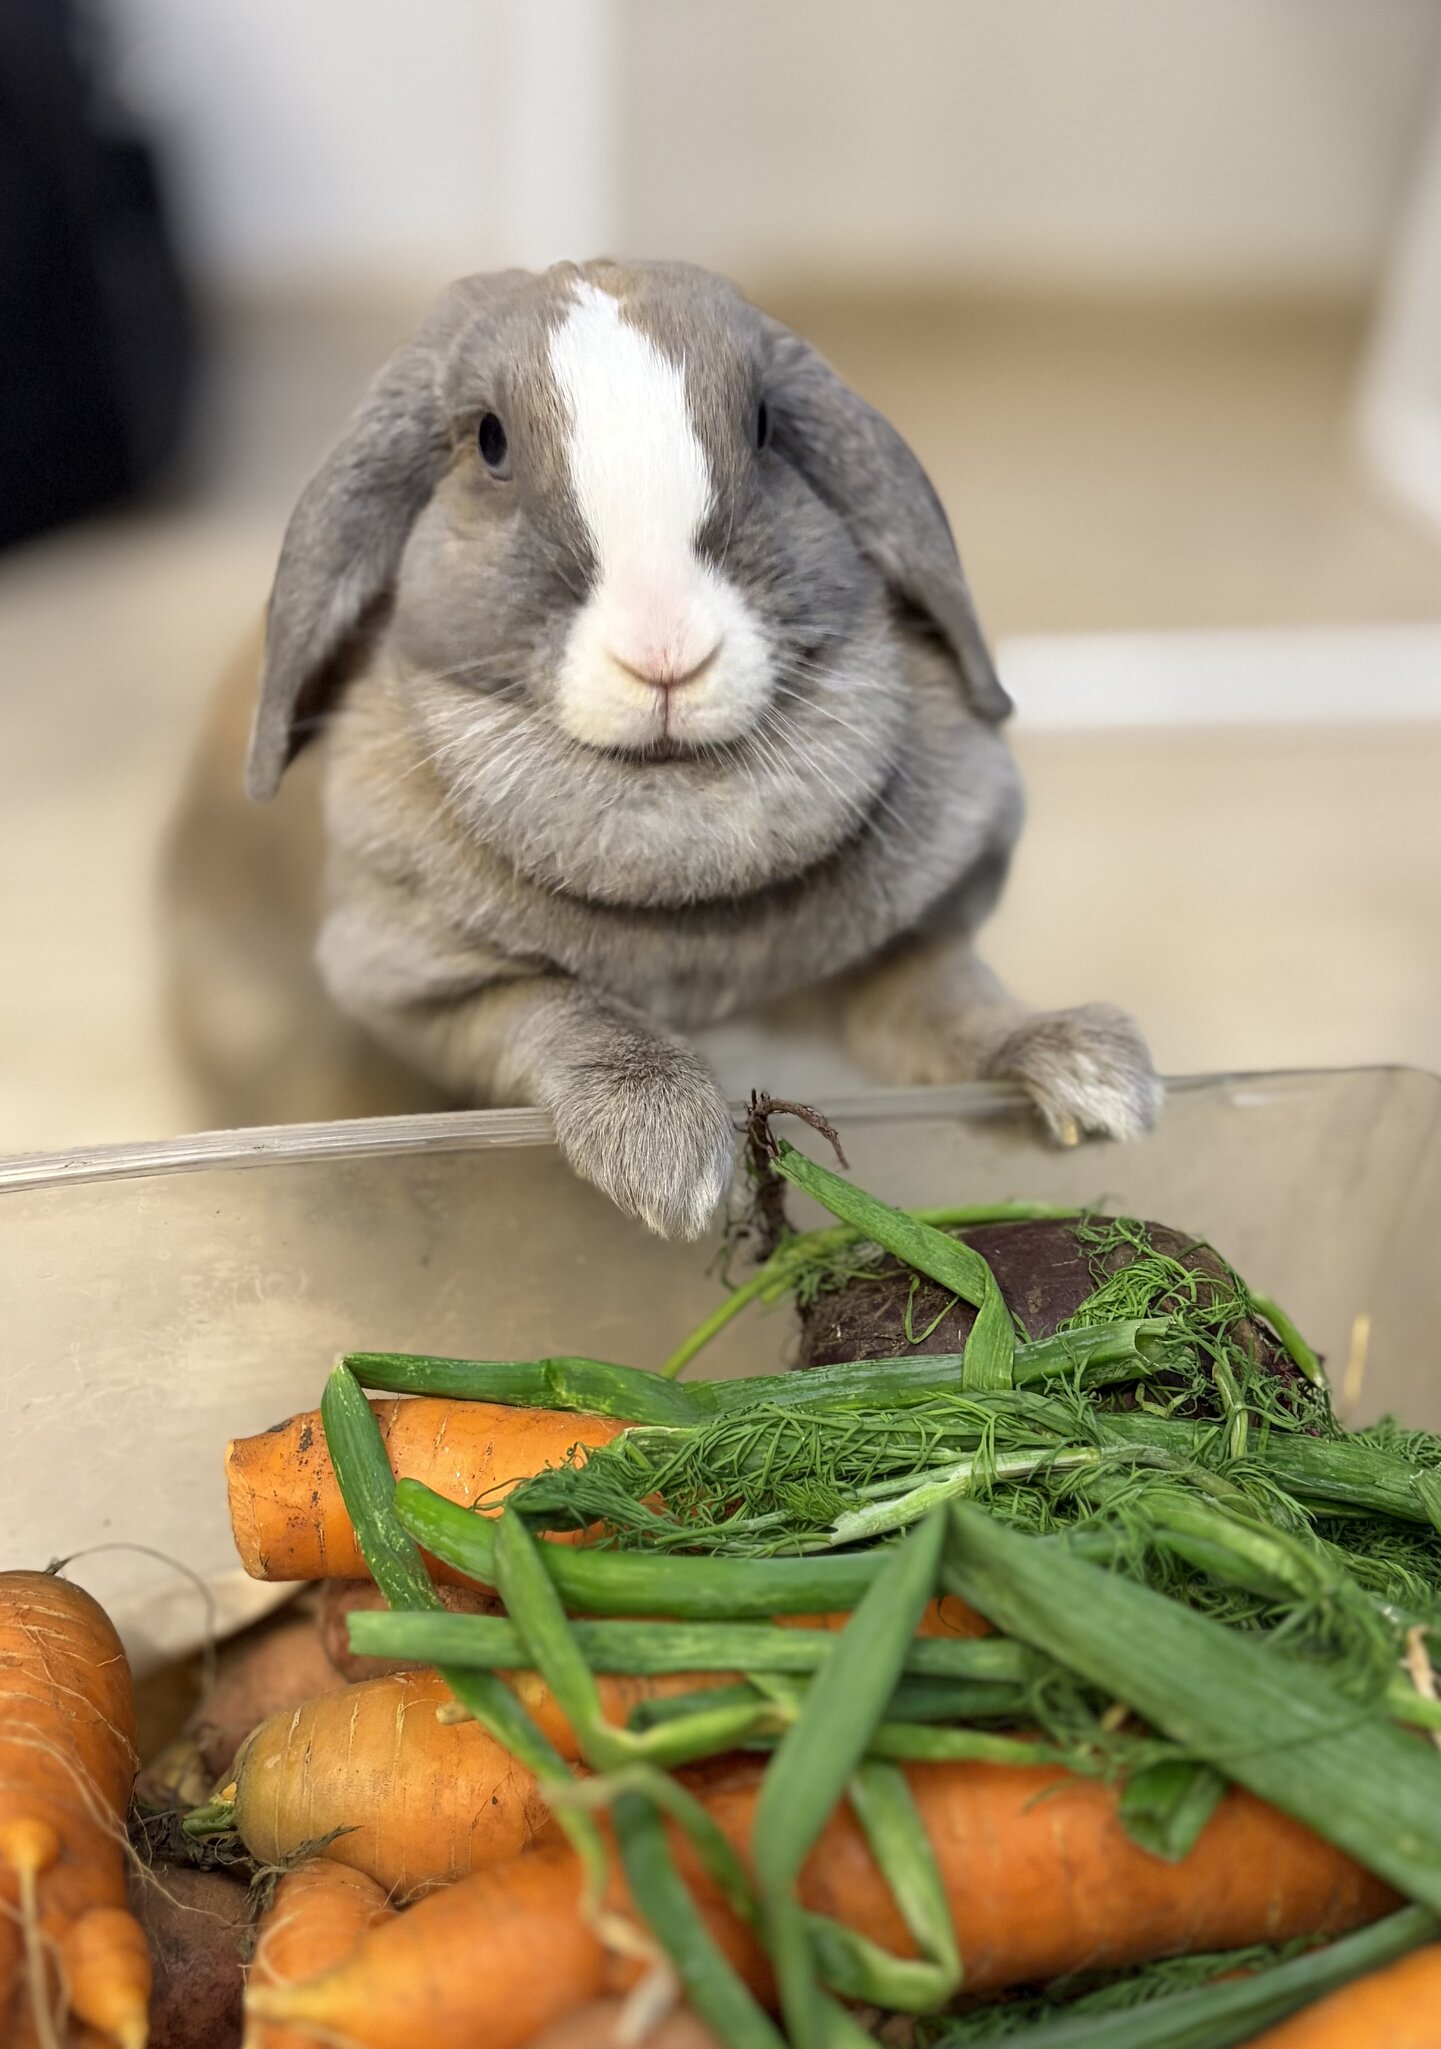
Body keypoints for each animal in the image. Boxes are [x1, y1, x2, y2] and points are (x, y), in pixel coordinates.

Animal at [162, 259, 1161, 1236]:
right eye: (489, 442)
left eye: (763, 426)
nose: (665, 649)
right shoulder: (429, 986)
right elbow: (562, 1008)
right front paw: (668, 1159)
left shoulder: (901, 956)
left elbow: (947, 1006)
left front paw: (1091, 1072)